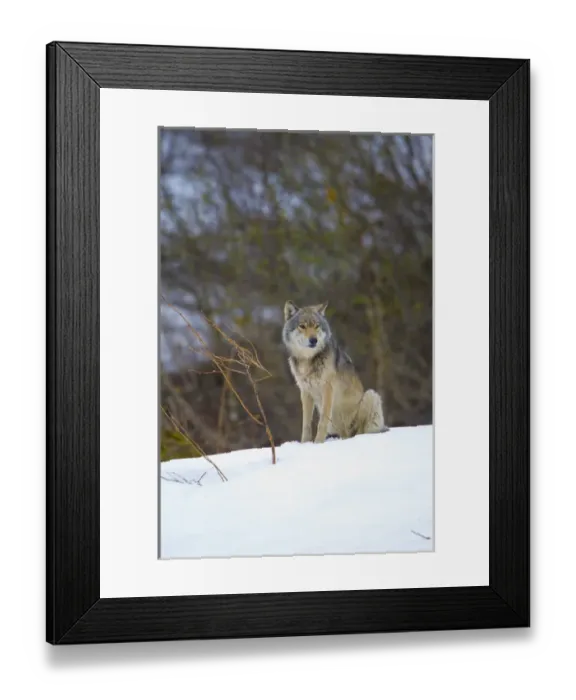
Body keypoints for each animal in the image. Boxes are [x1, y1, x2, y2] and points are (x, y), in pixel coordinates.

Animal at [282, 300, 386, 444]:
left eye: (317, 326)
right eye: (302, 326)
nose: (313, 340)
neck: (308, 360)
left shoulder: (327, 389)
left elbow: (322, 422)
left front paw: (318, 443)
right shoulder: (305, 392)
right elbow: (306, 424)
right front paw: (305, 444)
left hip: (371, 396)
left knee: (359, 432)